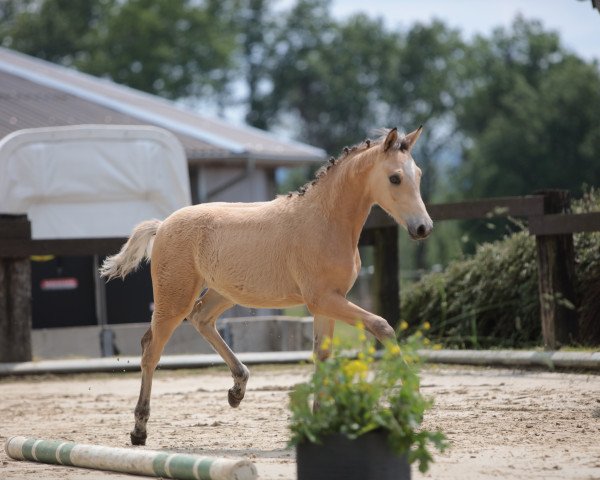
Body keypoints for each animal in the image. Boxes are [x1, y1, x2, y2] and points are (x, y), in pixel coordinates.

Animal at [102, 125, 432, 444]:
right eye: (394, 178)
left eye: (418, 175)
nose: (423, 228)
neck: (325, 220)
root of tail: (162, 226)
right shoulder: (323, 299)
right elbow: (382, 326)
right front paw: (413, 400)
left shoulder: (327, 304)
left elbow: (322, 356)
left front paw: (319, 420)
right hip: (174, 299)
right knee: (151, 351)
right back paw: (139, 430)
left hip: (223, 293)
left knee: (200, 319)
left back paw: (237, 388)